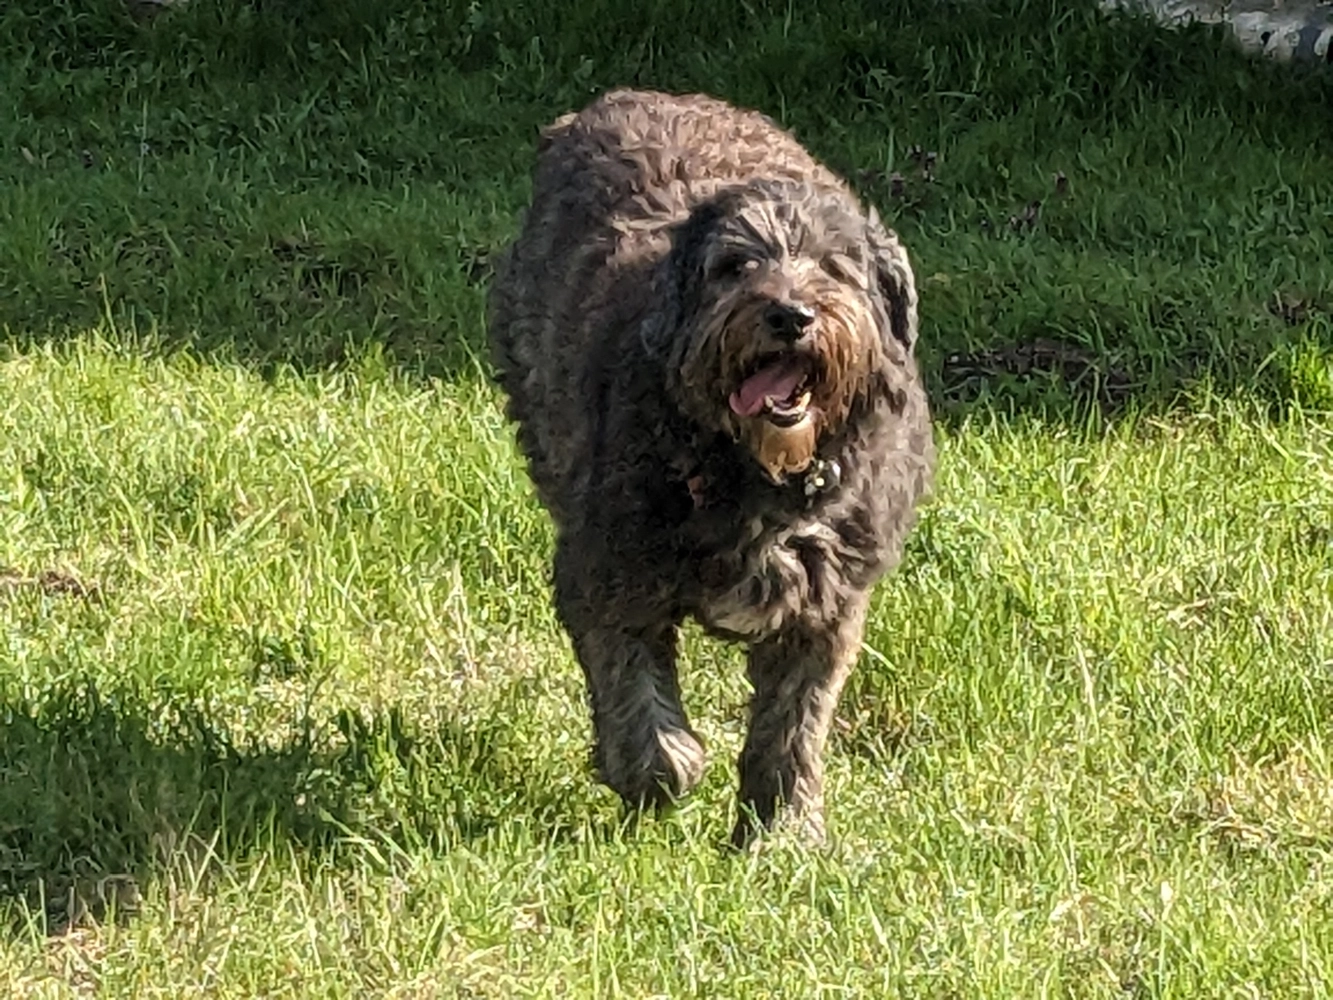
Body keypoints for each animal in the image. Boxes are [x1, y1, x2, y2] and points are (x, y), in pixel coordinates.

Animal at [485, 92, 933, 848]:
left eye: (833, 267)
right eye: (734, 266)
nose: (789, 315)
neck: (755, 470)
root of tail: (630, 95)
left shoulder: (825, 605)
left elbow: (793, 723)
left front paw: (782, 831)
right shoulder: (606, 573)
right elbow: (634, 693)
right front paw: (660, 773)